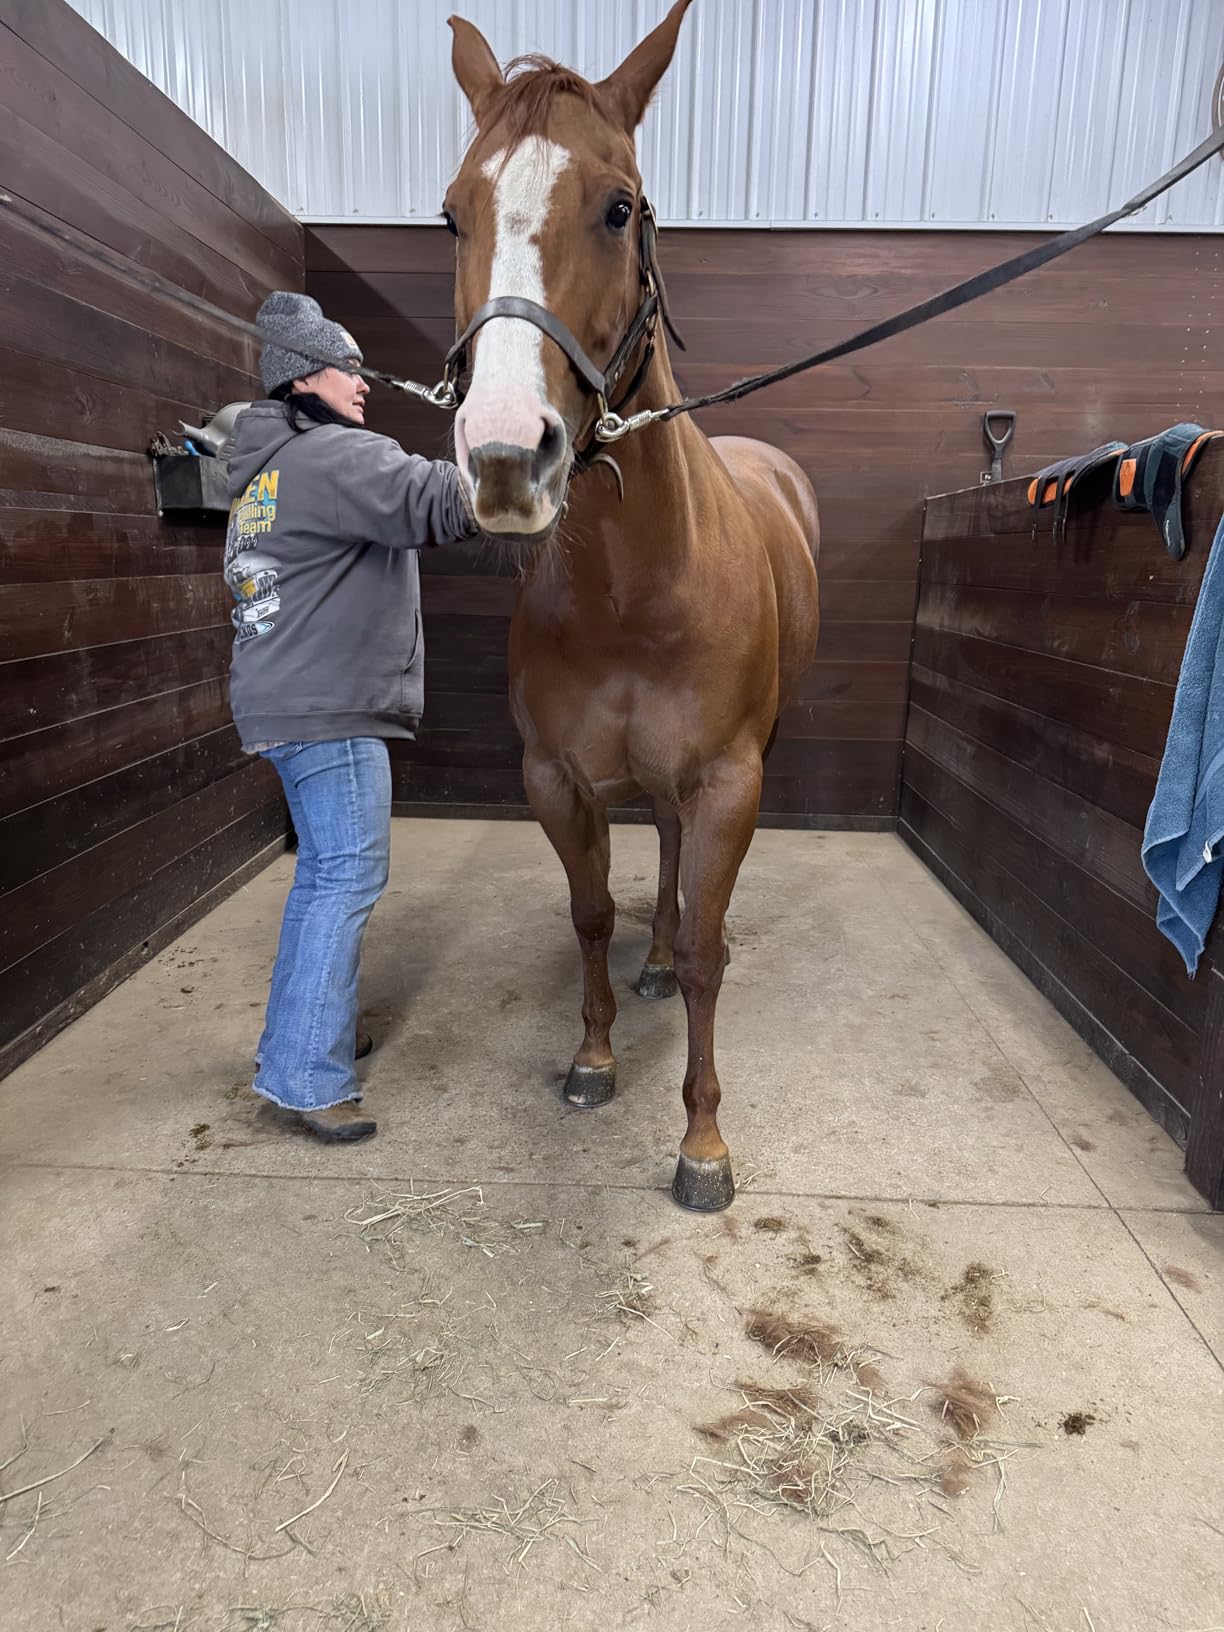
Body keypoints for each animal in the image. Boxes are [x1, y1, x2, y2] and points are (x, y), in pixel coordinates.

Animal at [443, 0, 821, 1211]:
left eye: (619, 208)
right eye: (453, 214)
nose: (505, 458)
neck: (632, 588)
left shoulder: (729, 781)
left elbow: (706, 947)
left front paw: (703, 1142)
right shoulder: (557, 780)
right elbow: (594, 915)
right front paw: (595, 1056)